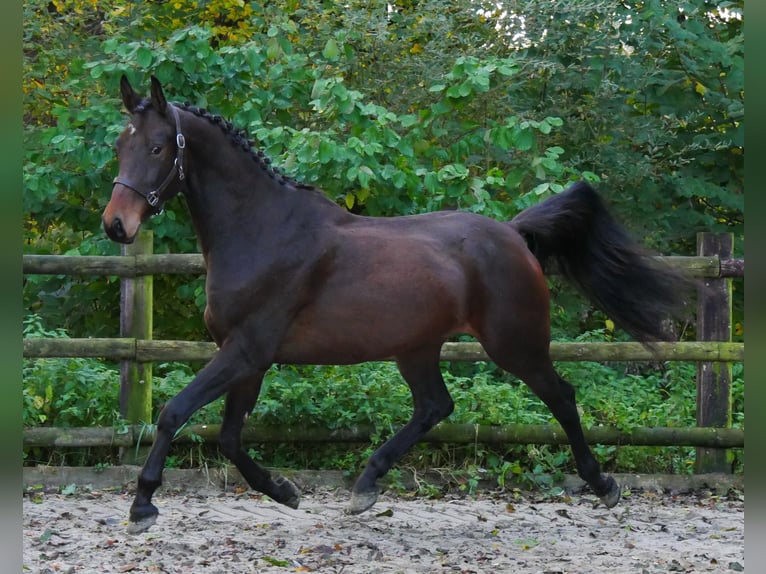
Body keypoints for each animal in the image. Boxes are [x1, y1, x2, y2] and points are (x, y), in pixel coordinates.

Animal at [100, 75, 684, 536]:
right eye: (120, 146)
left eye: (158, 147)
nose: (116, 225)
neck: (262, 230)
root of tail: (515, 236)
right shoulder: (247, 356)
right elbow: (228, 437)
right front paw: (285, 491)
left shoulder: (246, 351)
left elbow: (175, 413)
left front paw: (143, 505)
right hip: (417, 348)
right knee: (435, 407)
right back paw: (365, 487)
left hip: (514, 344)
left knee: (560, 396)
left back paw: (603, 484)